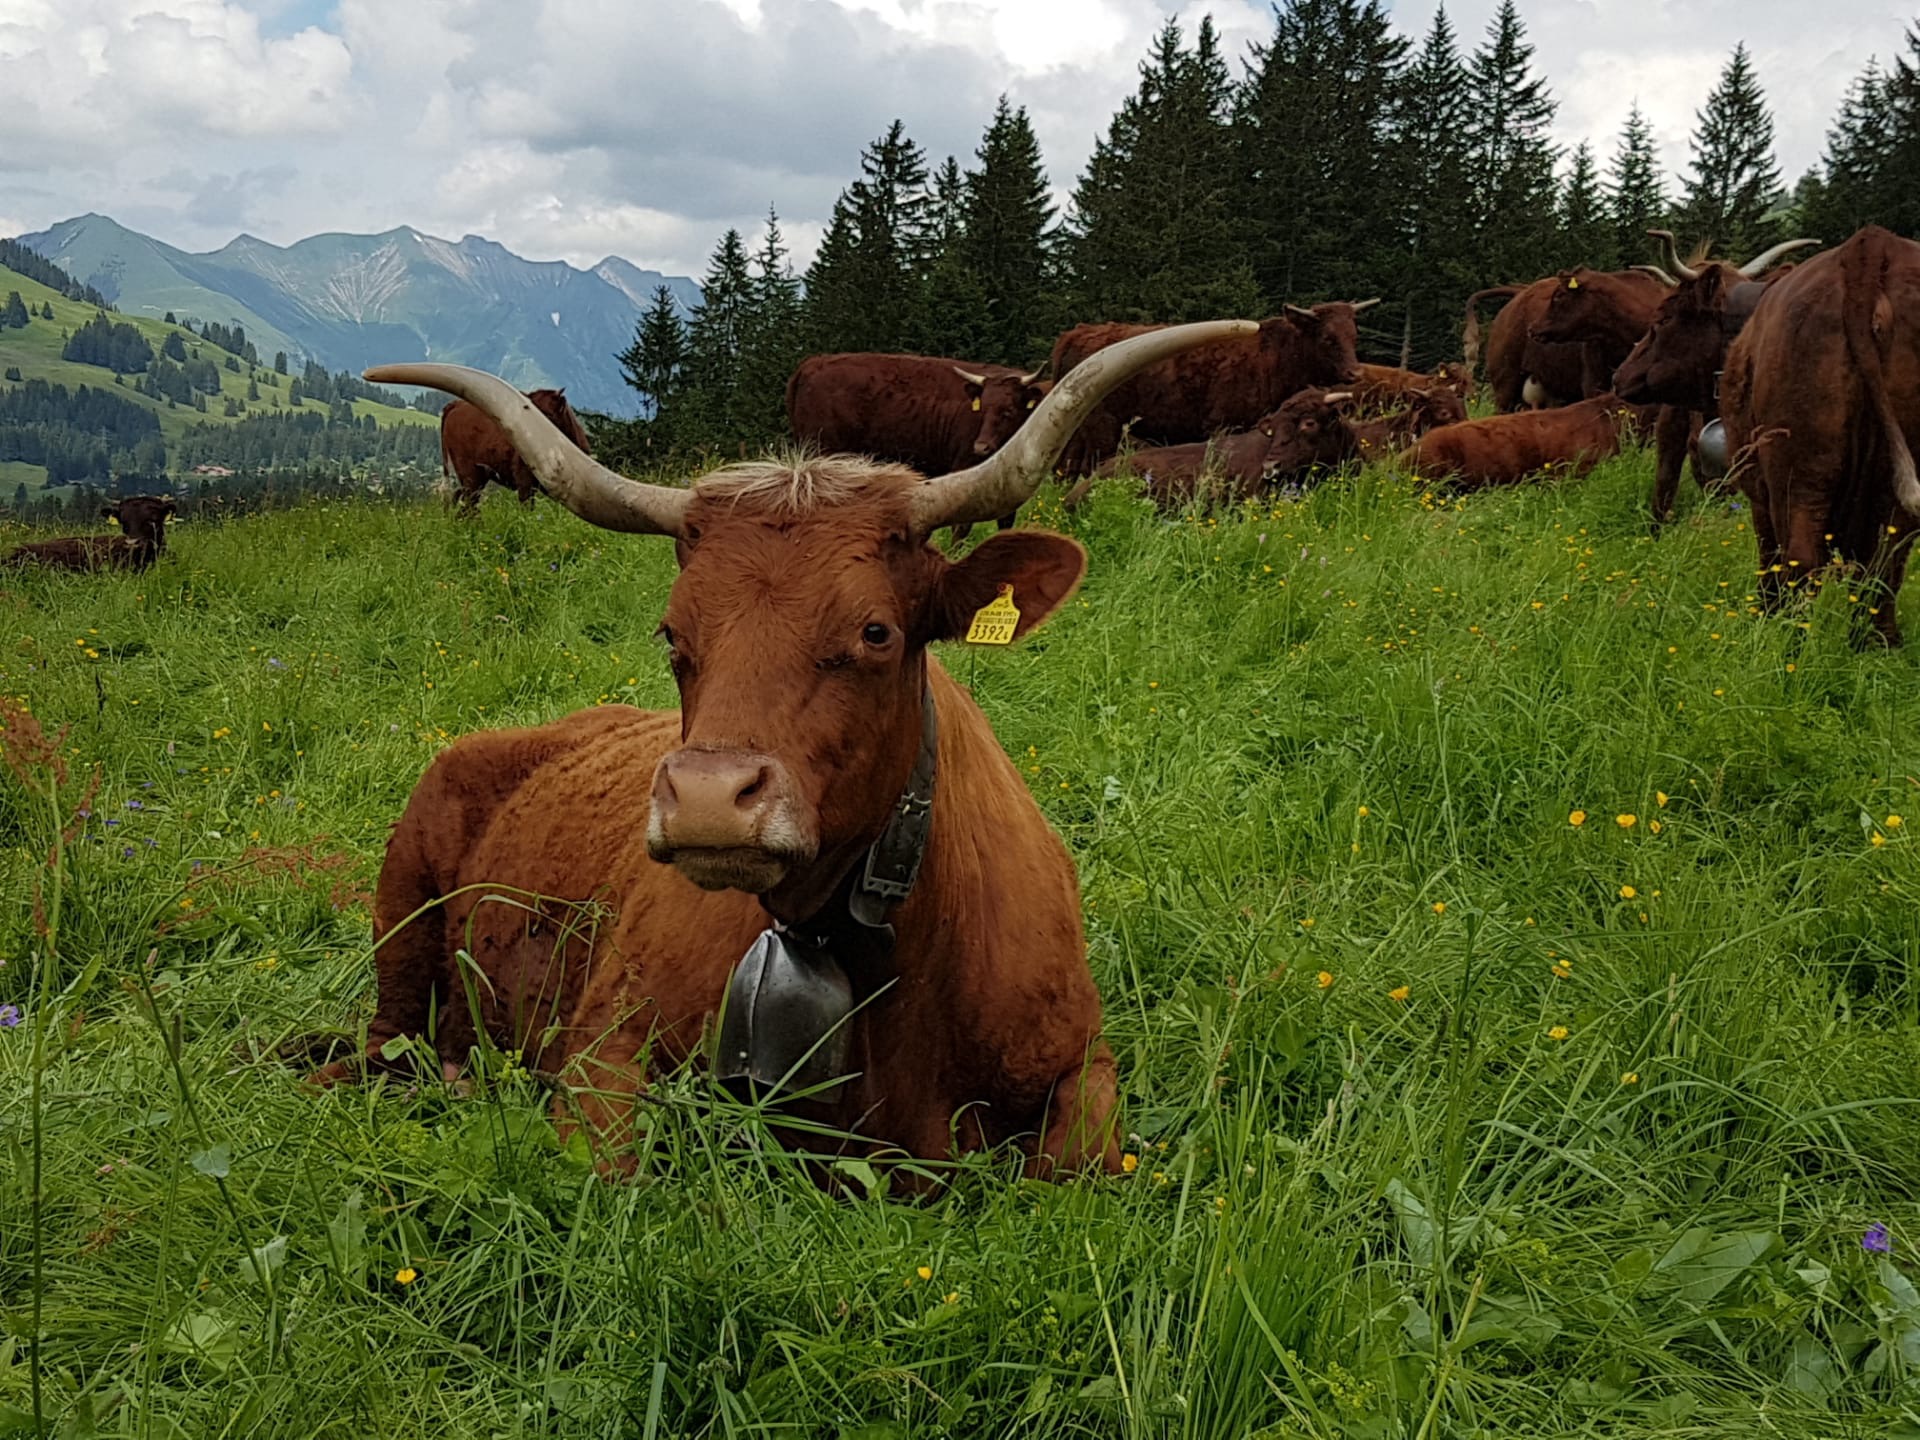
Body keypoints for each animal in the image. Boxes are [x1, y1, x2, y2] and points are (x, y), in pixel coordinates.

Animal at [1047, 301, 1374, 472]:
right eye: (1328, 338)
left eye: (1354, 334)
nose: (1355, 372)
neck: (1276, 357)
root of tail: (1077, 333)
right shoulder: (1223, 425)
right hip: (1102, 428)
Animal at [1715, 226, 1920, 645]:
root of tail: (1869, 244)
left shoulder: (1759, 497)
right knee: (1886, 563)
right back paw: (1877, 645)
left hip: (1798, 470)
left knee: (1802, 562)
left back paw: (1787, 645)